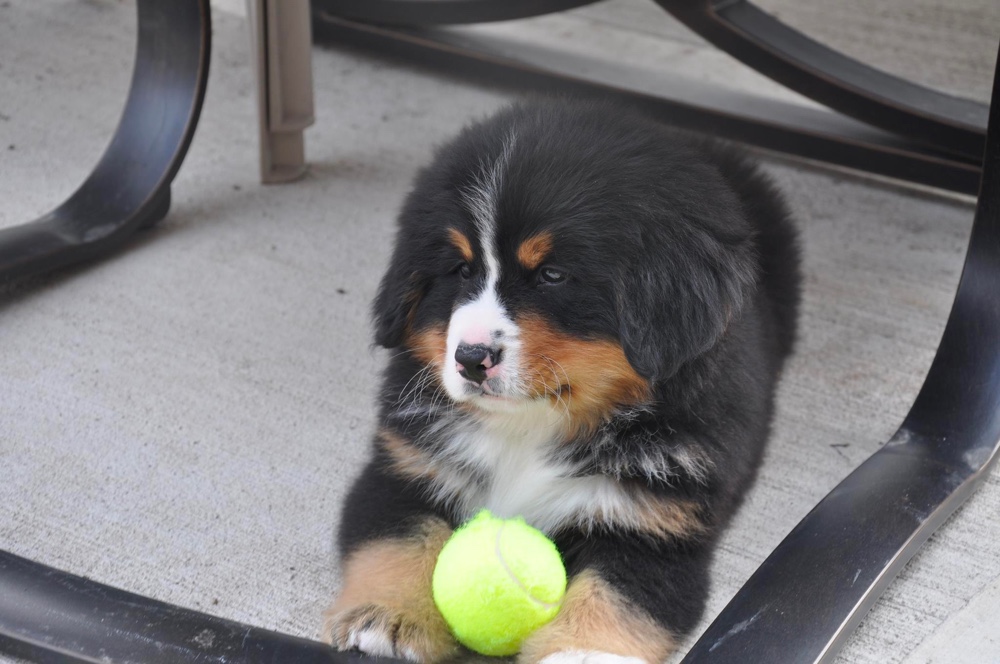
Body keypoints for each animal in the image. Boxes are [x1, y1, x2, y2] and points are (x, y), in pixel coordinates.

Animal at [324, 98, 800, 664]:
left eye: (552, 275)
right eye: (461, 269)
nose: (470, 359)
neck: (531, 427)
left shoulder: (653, 528)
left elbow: (614, 600)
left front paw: (581, 652)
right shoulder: (405, 469)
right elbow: (397, 543)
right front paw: (388, 621)